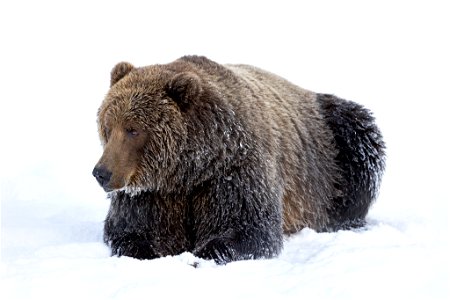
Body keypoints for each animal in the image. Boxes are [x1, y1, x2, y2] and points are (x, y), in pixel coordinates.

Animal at [93, 55, 384, 264]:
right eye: (108, 125)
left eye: (133, 129)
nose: (101, 172)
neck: (189, 168)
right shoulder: (154, 192)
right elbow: (132, 230)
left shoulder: (233, 170)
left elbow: (247, 228)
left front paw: (204, 253)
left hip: (332, 144)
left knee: (361, 146)